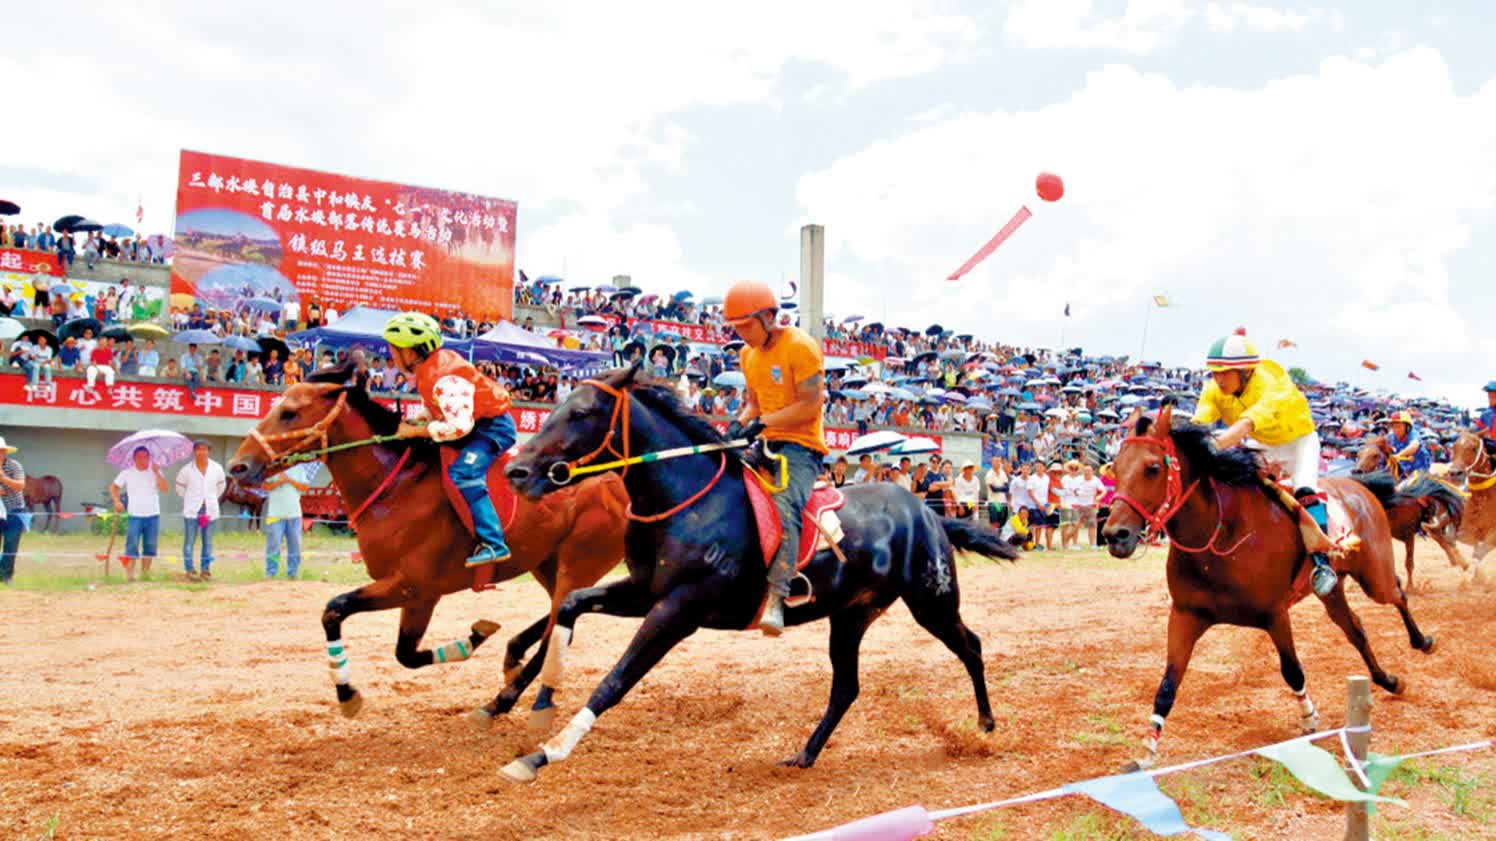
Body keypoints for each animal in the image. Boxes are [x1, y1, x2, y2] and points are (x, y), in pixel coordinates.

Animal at [227, 365, 631, 721]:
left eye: (289, 412)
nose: (238, 466)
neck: (397, 488)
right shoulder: (414, 594)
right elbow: (402, 652)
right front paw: (473, 638)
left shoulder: (414, 587)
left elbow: (338, 610)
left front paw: (347, 694)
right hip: (547, 562)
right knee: (559, 616)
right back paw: (513, 655)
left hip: (578, 562)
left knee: (556, 633)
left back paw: (500, 701)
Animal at [499, 363, 1017, 784]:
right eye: (555, 405)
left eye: (581, 412)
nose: (518, 472)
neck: (687, 501)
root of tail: (927, 512)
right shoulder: (644, 592)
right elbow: (569, 605)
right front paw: (528, 700)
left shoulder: (678, 610)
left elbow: (614, 681)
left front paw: (541, 755)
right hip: (851, 614)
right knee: (846, 687)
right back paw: (805, 755)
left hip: (931, 601)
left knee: (971, 647)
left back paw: (986, 725)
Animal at [1101, 404, 1436, 772]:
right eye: (1115, 468)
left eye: (1152, 468)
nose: (1114, 535)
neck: (1221, 535)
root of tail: (1356, 484)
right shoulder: (1186, 616)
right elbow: (1167, 686)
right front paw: (1147, 751)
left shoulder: (1275, 615)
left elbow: (1292, 670)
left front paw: (1309, 718)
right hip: (1333, 591)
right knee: (1356, 630)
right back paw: (1389, 680)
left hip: (1375, 577)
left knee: (1398, 593)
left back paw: (1422, 641)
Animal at [1448, 427, 1496, 571]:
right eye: (1454, 447)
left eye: (1474, 448)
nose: (1455, 473)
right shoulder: (1467, 530)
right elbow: (1453, 541)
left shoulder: (1492, 535)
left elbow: (1479, 554)